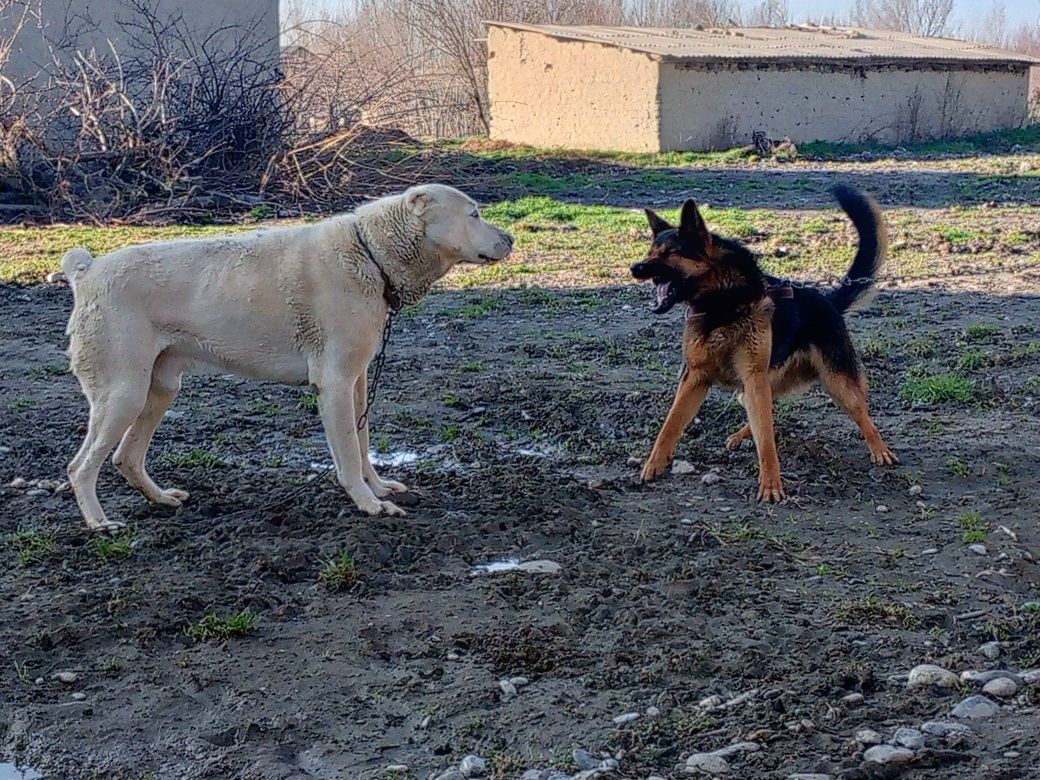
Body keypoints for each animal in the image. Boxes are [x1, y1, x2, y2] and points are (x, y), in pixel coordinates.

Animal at [61, 186, 511, 536]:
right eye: (474, 214)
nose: (510, 239)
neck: (370, 252)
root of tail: (88, 272)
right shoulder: (334, 384)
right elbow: (349, 453)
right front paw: (368, 504)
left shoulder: (358, 381)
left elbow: (363, 443)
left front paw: (378, 487)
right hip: (123, 395)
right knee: (80, 467)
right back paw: (100, 523)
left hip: (159, 390)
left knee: (125, 458)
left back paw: (161, 499)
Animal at [628, 184, 898, 503]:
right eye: (650, 252)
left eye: (670, 253)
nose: (635, 267)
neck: (722, 304)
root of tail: (827, 301)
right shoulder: (695, 377)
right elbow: (669, 426)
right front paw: (653, 465)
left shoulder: (752, 377)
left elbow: (766, 441)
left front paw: (771, 484)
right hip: (755, 389)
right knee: (769, 413)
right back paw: (742, 434)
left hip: (837, 385)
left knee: (861, 415)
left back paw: (880, 450)